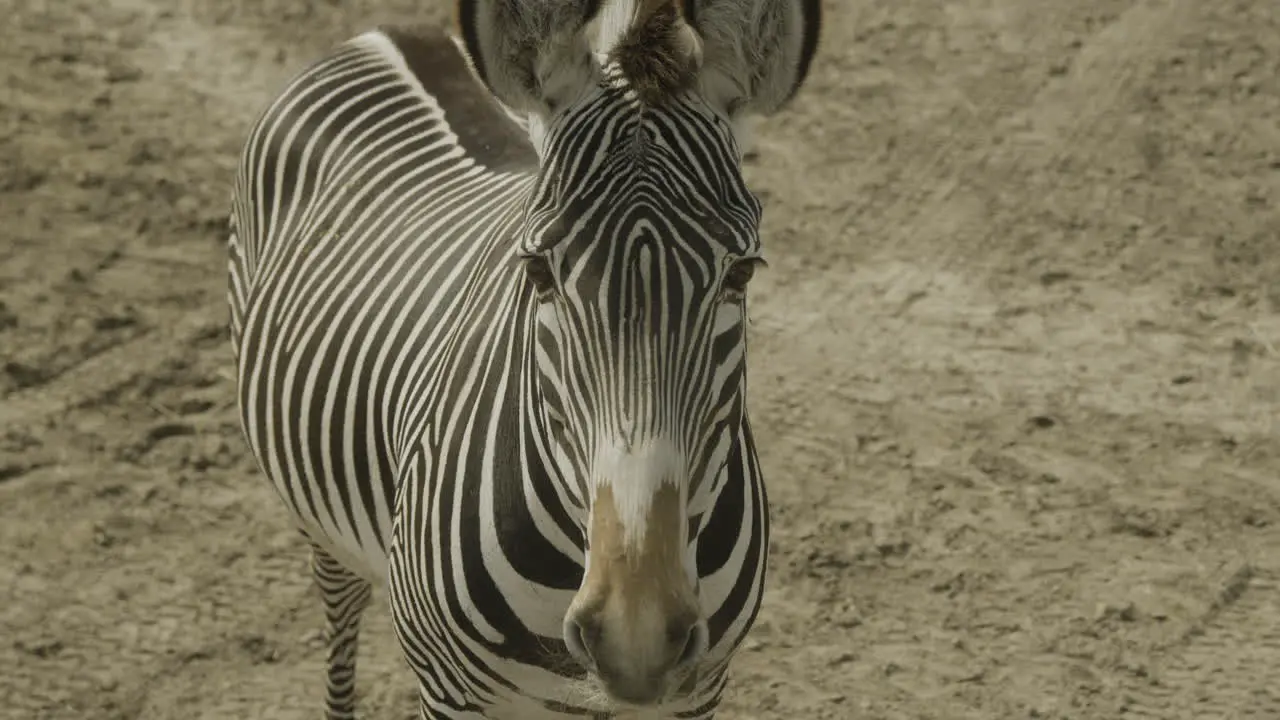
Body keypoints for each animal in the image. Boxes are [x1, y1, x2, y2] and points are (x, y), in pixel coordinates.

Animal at [227, 1, 819, 717]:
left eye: (742, 273)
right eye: (537, 271)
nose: (637, 634)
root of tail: (391, 33)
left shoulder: (696, 692)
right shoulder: (449, 692)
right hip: (316, 517)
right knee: (339, 611)